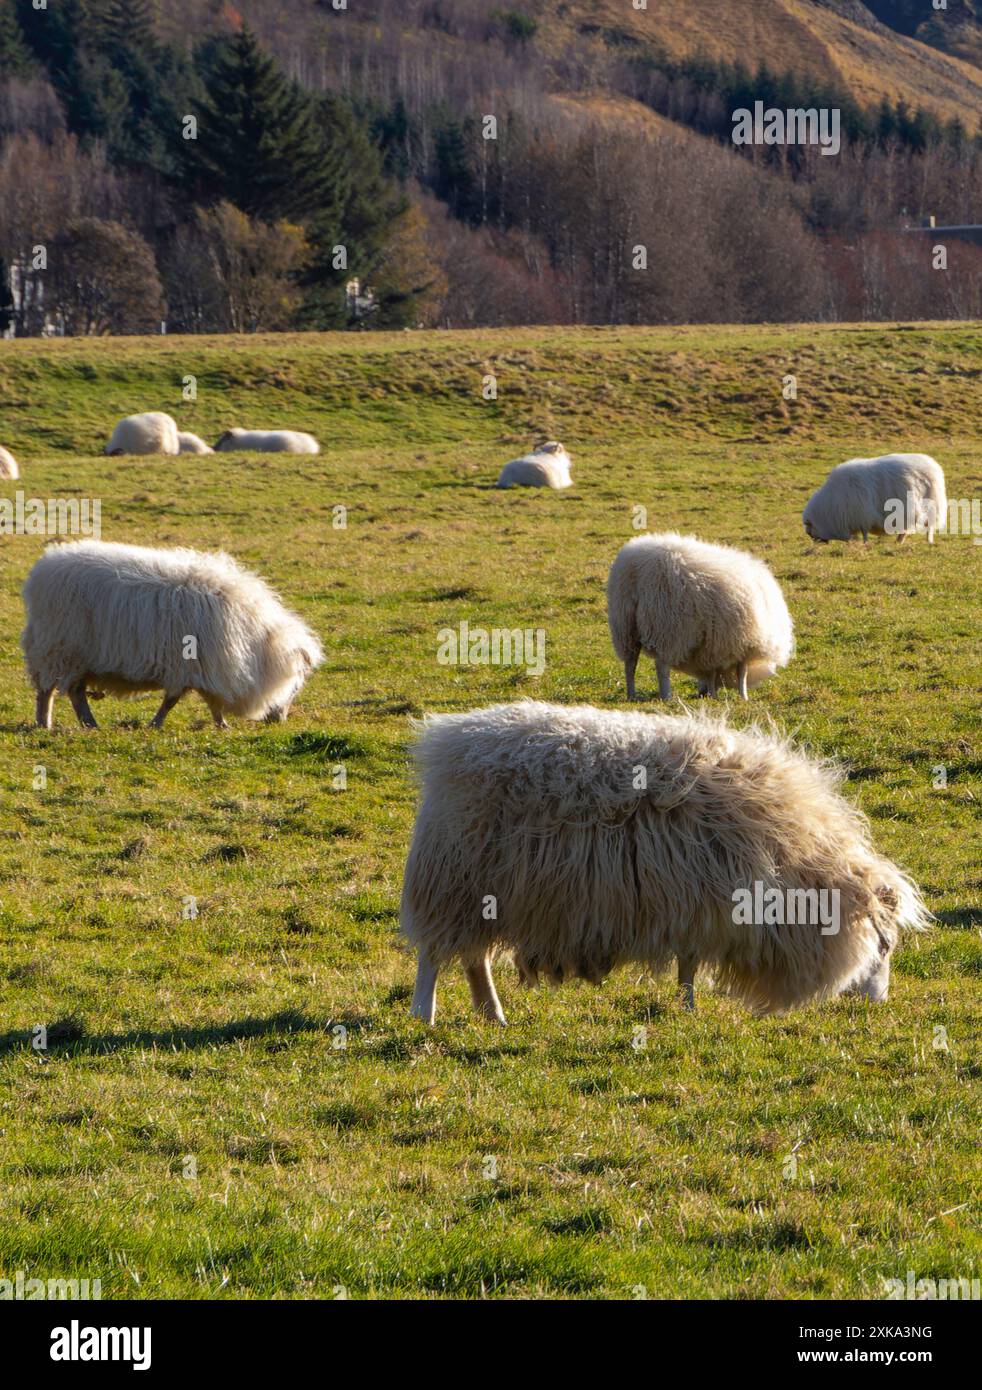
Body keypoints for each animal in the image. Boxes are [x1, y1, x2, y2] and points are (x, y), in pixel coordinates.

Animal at [22, 539, 323, 731]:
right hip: (58, 649)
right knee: (49, 691)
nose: (279, 721)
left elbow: (209, 702)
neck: (258, 647)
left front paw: (220, 725)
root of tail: (41, 571)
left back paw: (86, 723)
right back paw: (46, 722)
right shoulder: (194, 666)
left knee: (74, 692)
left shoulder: (203, 670)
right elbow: (174, 700)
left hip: (71, 656)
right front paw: (157, 724)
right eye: (296, 685)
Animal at [401, 700, 929, 1024]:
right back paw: (424, 1014)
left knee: (474, 959)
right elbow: (690, 961)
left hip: (484, 893)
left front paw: (684, 1003)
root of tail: (448, 738)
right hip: (452, 880)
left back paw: (493, 1015)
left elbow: (688, 959)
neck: (794, 863)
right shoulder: (703, 899)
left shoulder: (695, 901)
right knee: (433, 956)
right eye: (883, 945)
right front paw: (689, 1005)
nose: (879, 1003)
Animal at [607, 533, 793, 702]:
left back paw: (632, 695)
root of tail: (636, 569)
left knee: (630, 664)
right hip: (667, 625)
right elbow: (742, 672)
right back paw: (667, 696)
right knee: (661, 666)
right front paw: (743, 696)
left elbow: (711, 672)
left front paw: (713, 694)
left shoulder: (712, 646)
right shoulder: (745, 644)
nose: (701, 693)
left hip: (624, 625)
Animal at [803, 453, 947, 544]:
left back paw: (925, 541)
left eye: (810, 528)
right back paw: (899, 542)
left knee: (929, 527)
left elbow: (864, 533)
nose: (814, 542)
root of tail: (933, 466)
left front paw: (865, 544)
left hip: (929, 507)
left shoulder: (862, 516)